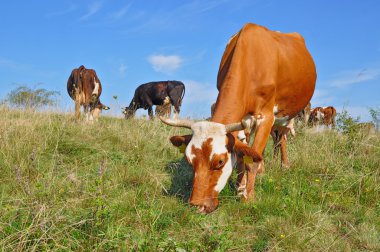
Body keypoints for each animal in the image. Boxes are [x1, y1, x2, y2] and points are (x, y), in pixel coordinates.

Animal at [160, 23, 318, 213]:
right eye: (190, 160)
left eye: (220, 161)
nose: (197, 205)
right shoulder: (242, 123)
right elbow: (243, 153)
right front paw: (240, 187)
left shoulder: (266, 117)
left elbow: (252, 160)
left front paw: (248, 197)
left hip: (286, 114)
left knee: (281, 137)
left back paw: (284, 165)